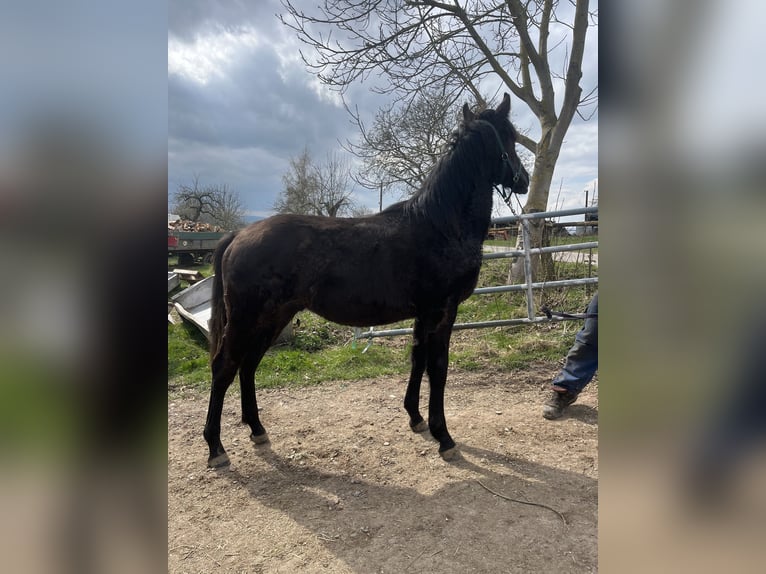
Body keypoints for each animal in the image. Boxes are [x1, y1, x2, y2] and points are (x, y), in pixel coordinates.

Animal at [203, 93, 529, 468]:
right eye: (510, 137)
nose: (524, 179)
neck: (440, 225)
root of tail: (239, 234)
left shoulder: (423, 314)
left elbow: (417, 359)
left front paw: (416, 419)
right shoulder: (442, 311)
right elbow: (438, 368)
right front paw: (443, 437)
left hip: (273, 318)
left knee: (248, 366)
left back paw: (257, 430)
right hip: (247, 319)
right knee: (224, 367)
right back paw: (216, 448)